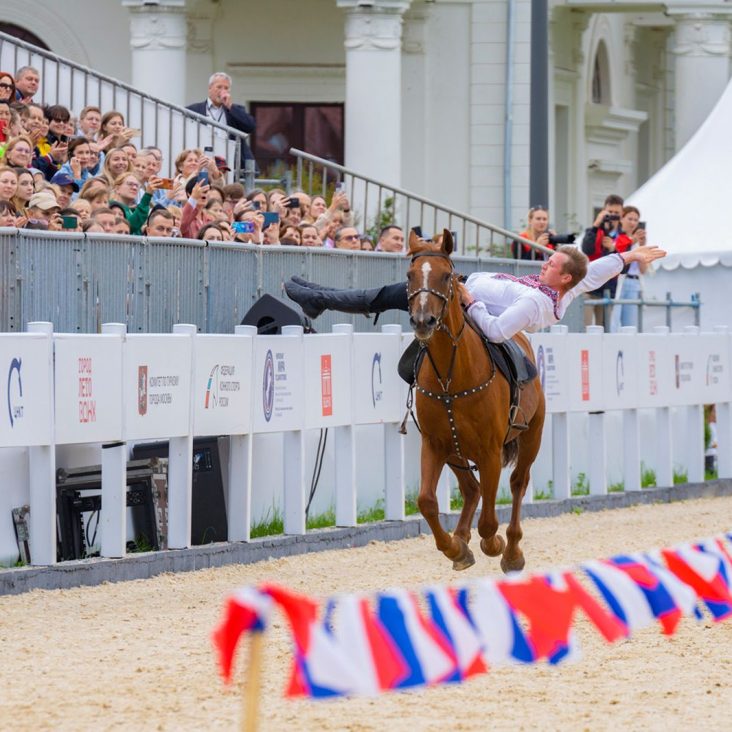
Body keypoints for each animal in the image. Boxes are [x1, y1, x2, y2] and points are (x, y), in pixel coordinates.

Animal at [406, 229, 544, 572]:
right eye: (410, 275)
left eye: (446, 276)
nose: (423, 321)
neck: (451, 377)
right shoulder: (434, 443)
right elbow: (426, 501)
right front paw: (454, 548)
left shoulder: (489, 451)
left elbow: (489, 523)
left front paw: (495, 545)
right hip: (455, 450)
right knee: (472, 489)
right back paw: (460, 537)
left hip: (531, 436)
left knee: (518, 483)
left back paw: (512, 550)